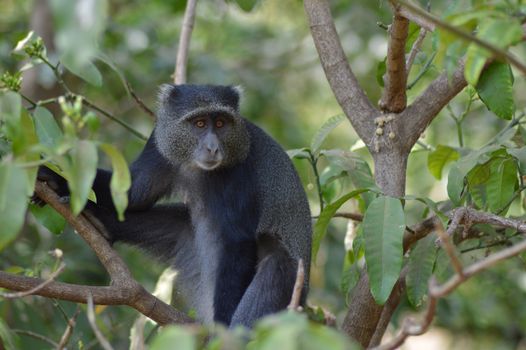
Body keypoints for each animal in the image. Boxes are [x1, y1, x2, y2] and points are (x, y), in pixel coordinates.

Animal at [40, 85, 314, 328]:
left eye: (221, 123)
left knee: (275, 259)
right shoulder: (159, 143)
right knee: (179, 222)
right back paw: (101, 222)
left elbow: (237, 241)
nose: (213, 147)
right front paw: (53, 177)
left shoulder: (240, 173)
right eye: (200, 123)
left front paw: (223, 327)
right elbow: (132, 194)